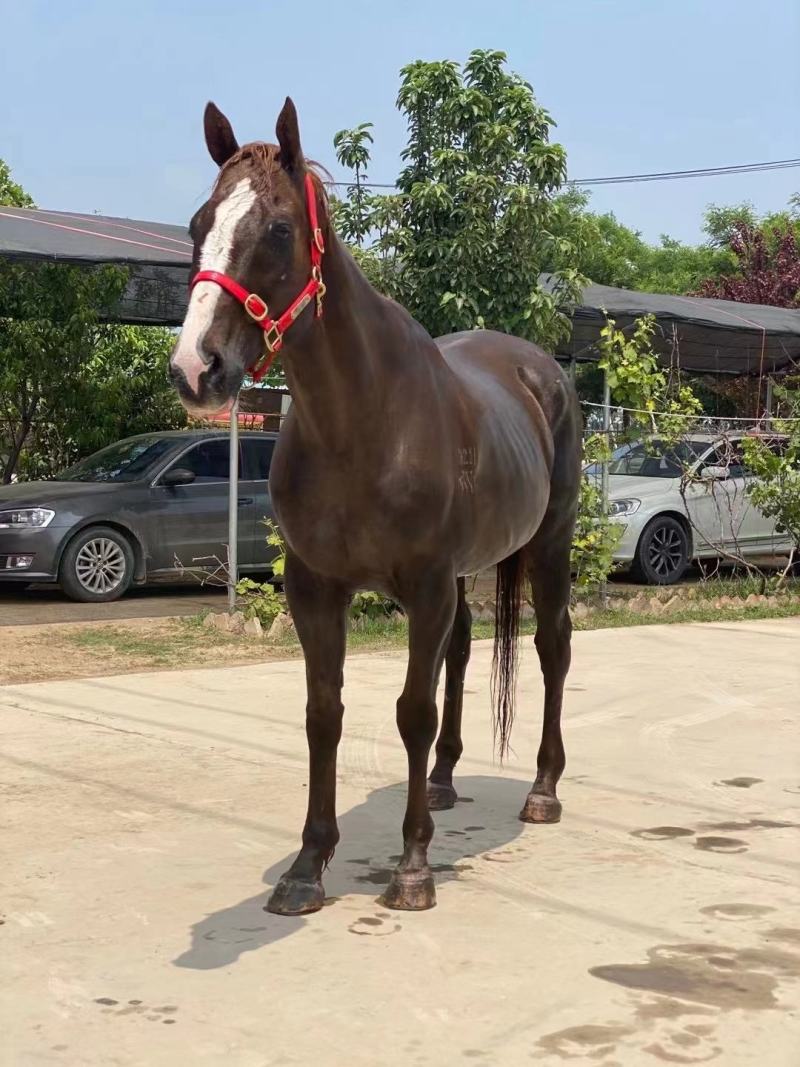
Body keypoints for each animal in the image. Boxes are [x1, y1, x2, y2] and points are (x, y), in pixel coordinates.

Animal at [169, 97, 582, 915]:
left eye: (278, 229)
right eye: (199, 223)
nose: (196, 367)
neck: (363, 423)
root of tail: (540, 368)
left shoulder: (423, 585)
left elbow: (410, 711)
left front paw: (412, 867)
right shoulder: (316, 588)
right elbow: (323, 714)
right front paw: (307, 866)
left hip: (548, 546)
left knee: (553, 649)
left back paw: (543, 789)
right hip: (462, 577)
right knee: (461, 656)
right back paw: (445, 781)